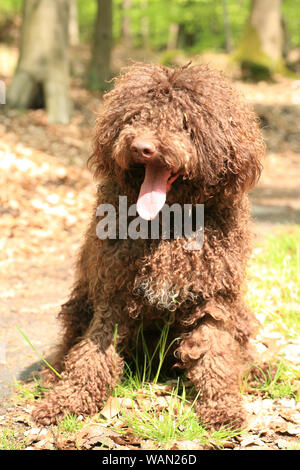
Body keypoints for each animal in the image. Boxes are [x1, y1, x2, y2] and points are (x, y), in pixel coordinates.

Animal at [32, 62, 264, 430]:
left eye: (183, 122)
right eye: (136, 117)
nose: (142, 146)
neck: (167, 223)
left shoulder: (213, 299)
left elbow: (215, 353)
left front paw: (223, 408)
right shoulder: (113, 295)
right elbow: (92, 355)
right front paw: (66, 402)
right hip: (80, 304)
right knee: (69, 346)